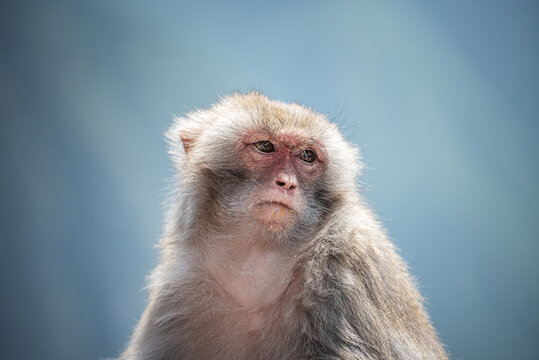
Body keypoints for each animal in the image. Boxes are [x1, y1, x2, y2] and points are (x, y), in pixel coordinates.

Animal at [120, 93, 450, 360]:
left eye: (307, 156)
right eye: (266, 146)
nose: (287, 183)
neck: (256, 266)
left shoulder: (346, 267)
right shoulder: (179, 286)